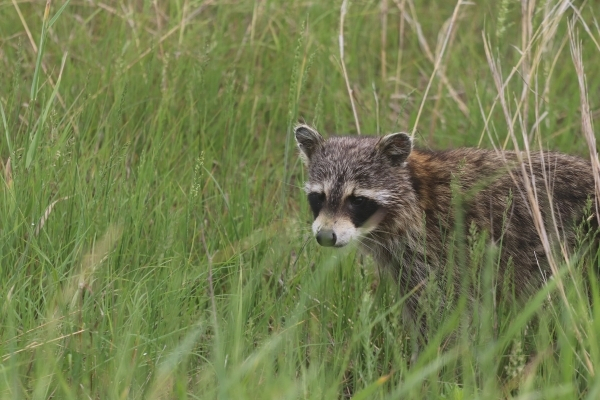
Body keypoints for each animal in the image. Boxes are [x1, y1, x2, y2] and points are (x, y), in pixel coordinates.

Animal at [294, 123, 596, 332]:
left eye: (357, 200)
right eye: (319, 196)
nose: (325, 236)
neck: (414, 192)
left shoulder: (441, 250)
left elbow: (444, 315)